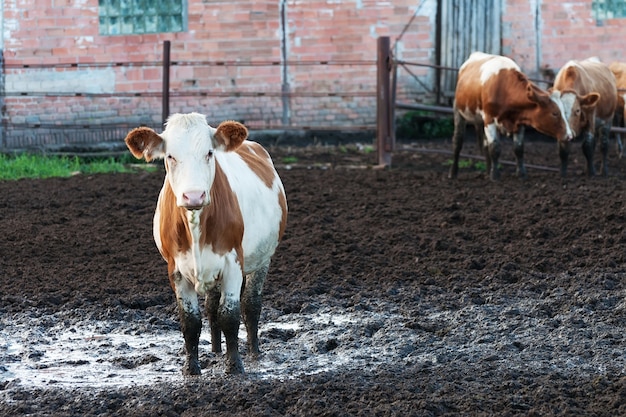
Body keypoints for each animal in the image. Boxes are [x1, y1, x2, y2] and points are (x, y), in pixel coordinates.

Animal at [122, 111, 288, 374]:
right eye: (170, 156)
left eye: (209, 153)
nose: (193, 196)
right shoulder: (176, 269)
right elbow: (190, 321)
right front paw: (191, 369)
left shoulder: (233, 264)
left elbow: (229, 315)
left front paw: (234, 366)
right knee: (211, 307)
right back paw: (216, 350)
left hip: (263, 259)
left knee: (251, 305)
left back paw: (254, 352)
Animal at [446, 51, 572, 180]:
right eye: (554, 113)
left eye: (564, 111)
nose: (569, 135)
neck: (504, 88)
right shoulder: (489, 120)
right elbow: (495, 148)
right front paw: (495, 175)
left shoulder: (520, 122)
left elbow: (518, 148)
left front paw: (521, 173)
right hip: (458, 111)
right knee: (458, 141)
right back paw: (453, 172)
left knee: (485, 145)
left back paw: (487, 171)